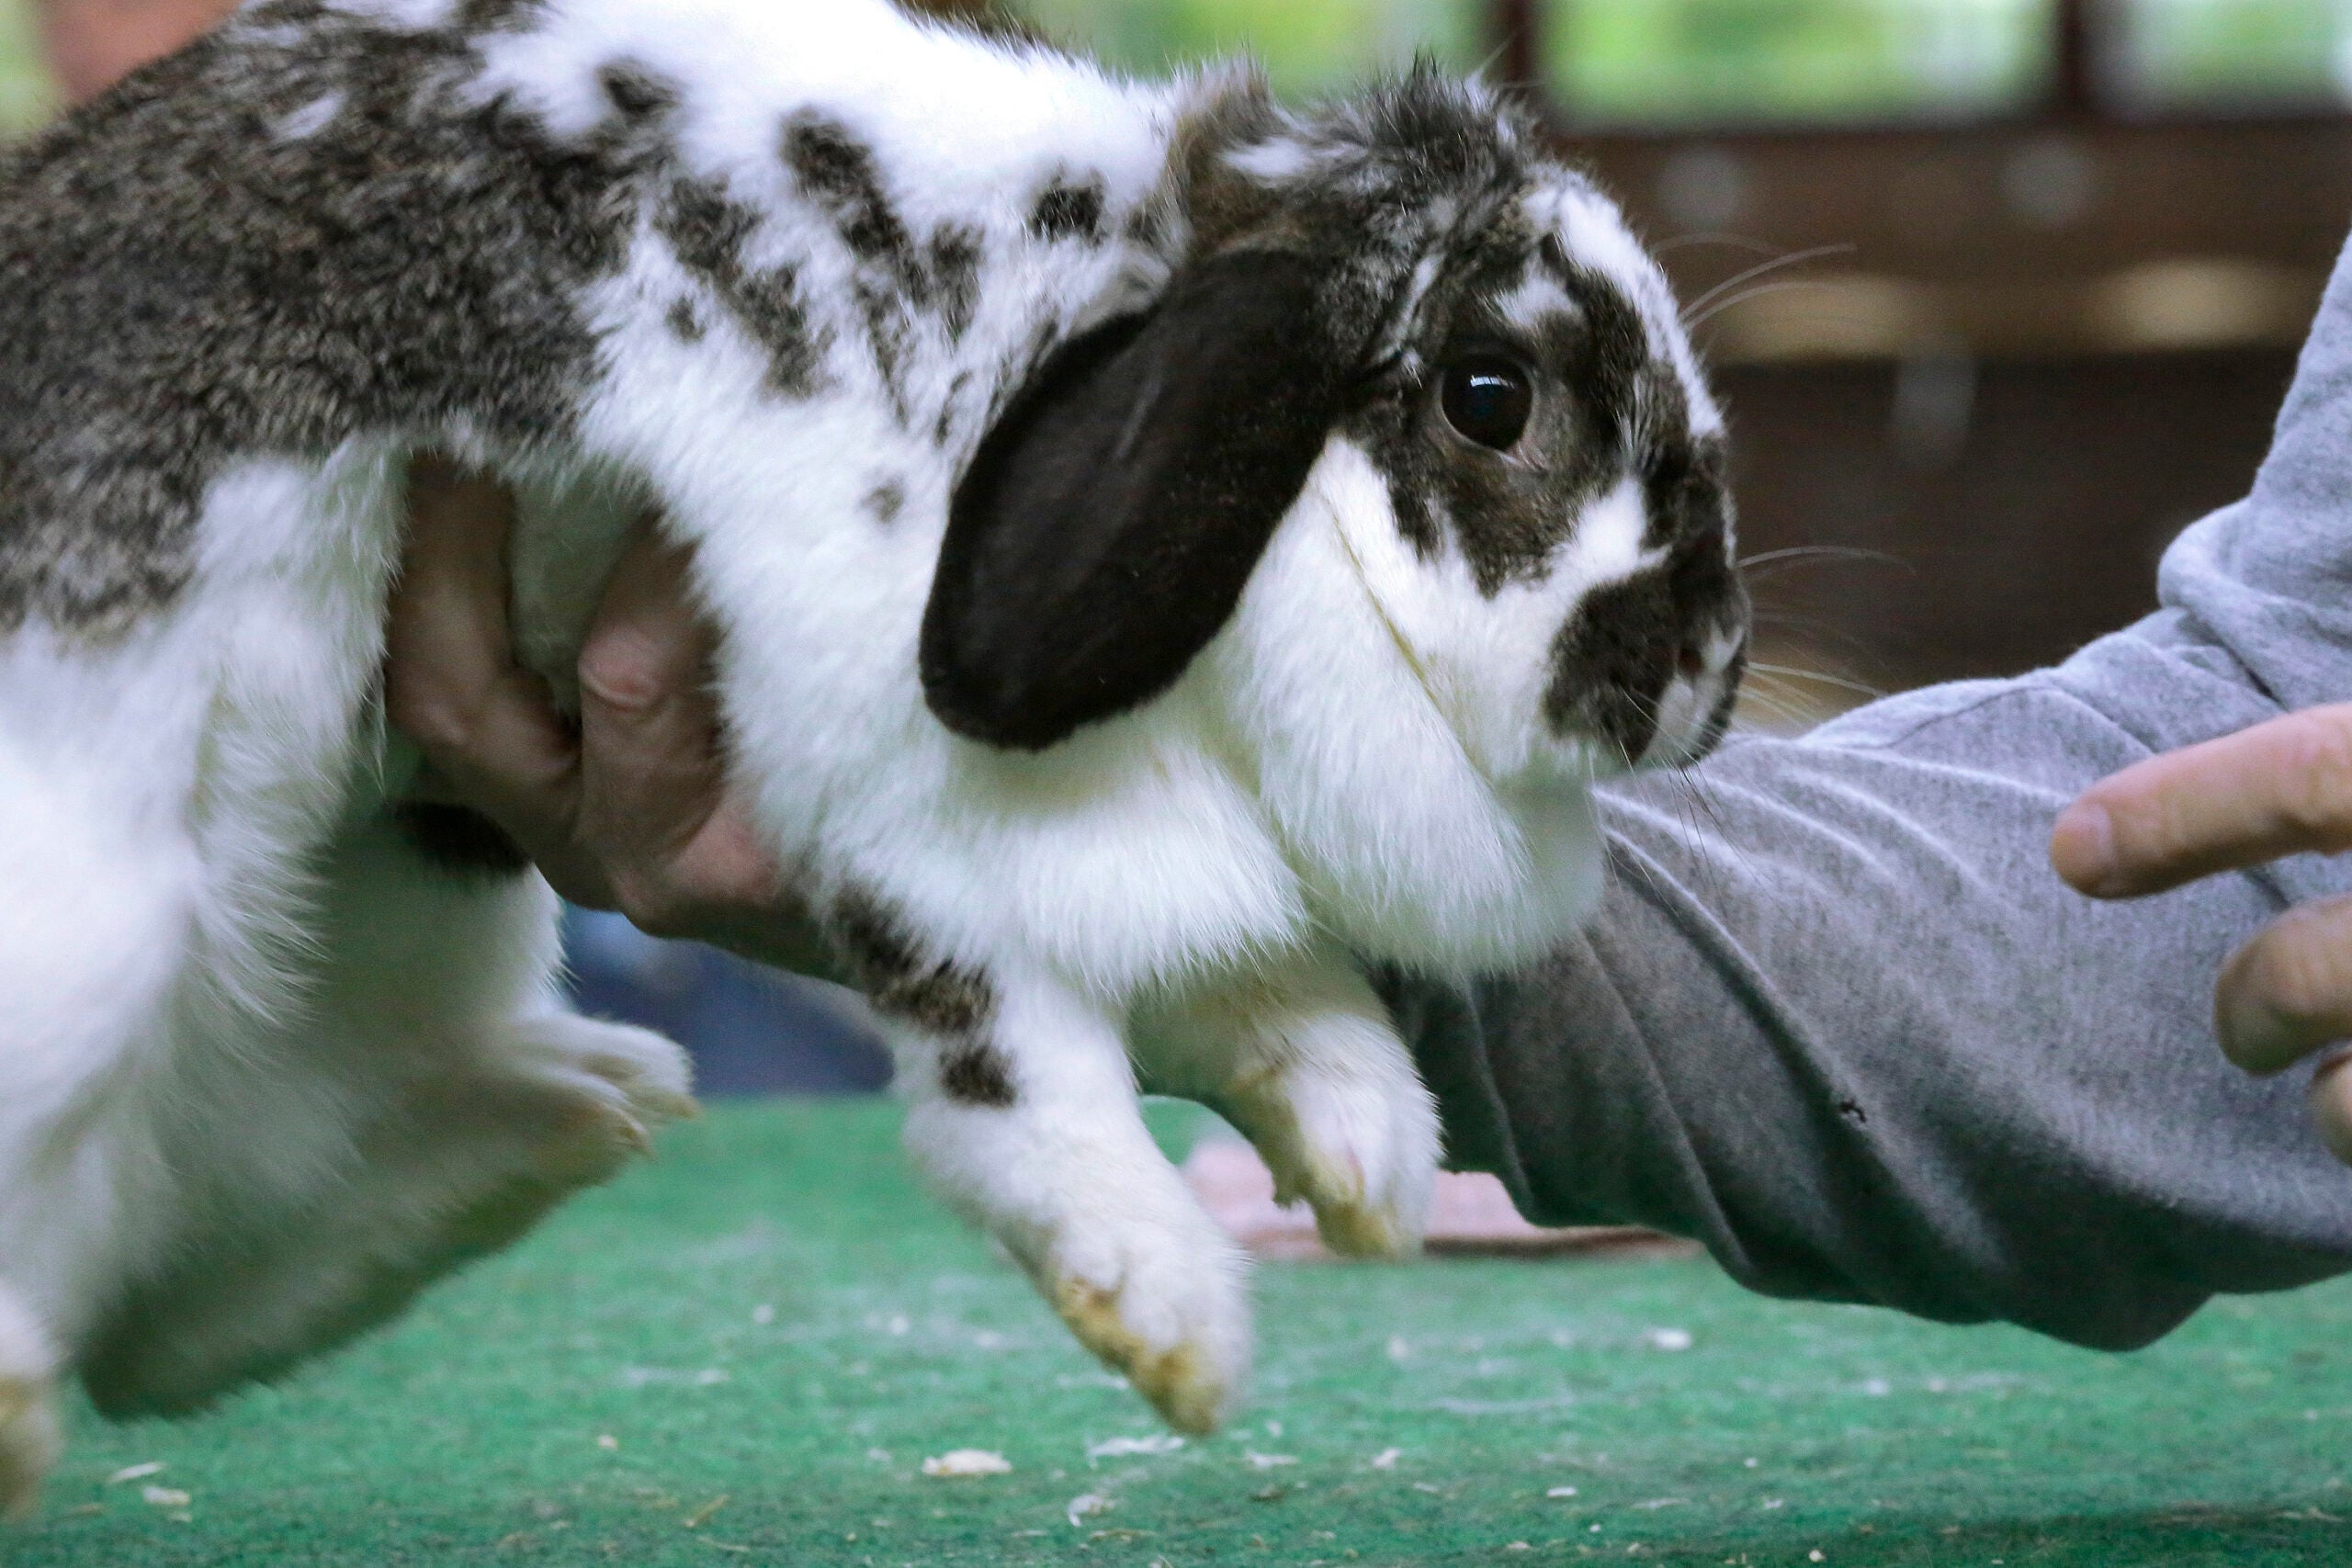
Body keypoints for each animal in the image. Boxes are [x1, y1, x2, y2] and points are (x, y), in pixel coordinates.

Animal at [0, 0, 1749, 1504]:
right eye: (1488, 394)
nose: (1704, 667)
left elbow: (1273, 991)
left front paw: (1366, 1158)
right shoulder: (898, 807)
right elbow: (1021, 1067)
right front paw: (1164, 1309)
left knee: (185, 1303)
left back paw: (572, 1109)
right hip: (110, 912)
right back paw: (26, 1405)